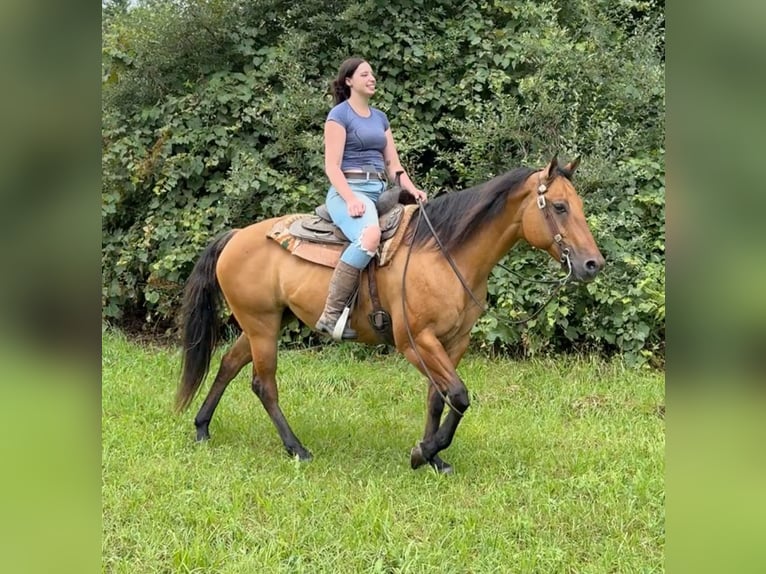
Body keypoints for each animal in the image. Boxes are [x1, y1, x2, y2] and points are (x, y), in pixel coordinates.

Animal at [176, 155, 608, 474]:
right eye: (559, 206)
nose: (592, 264)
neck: (444, 253)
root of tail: (236, 236)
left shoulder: (453, 343)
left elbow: (439, 399)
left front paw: (435, 458)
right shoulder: (416, 342)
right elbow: (459, 395)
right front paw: (423, 452)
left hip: (266, 323)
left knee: (229, 364)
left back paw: (202, 429)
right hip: (263, 325)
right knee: (263, 385)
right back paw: (297, 449)